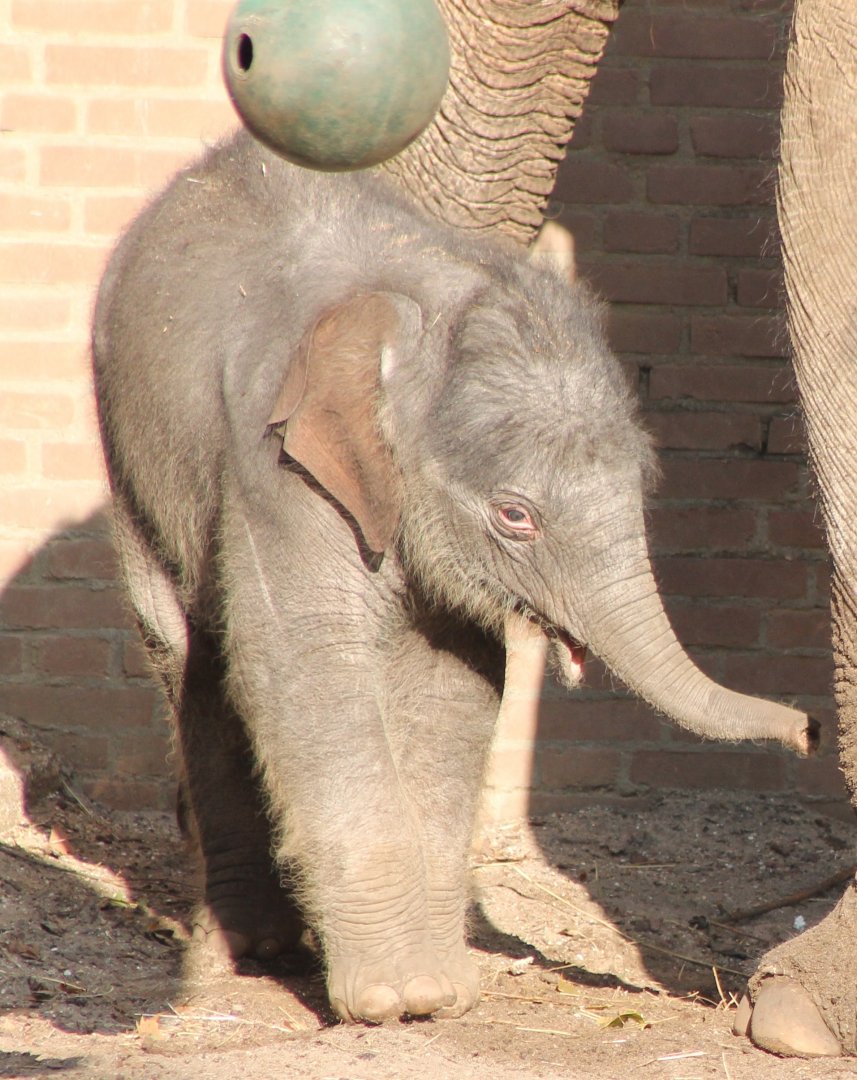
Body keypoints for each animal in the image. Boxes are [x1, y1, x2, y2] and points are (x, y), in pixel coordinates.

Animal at [91, 128, 817, 1024]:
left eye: (644, 479)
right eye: (515, 516)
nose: (809, 730)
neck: (425, 307)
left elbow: (455, 684)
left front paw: (438, 994)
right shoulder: (278, 469)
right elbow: (306, 668)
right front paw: (389, 1002)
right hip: (130, 452)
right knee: (190, 657)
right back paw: (253, 953)